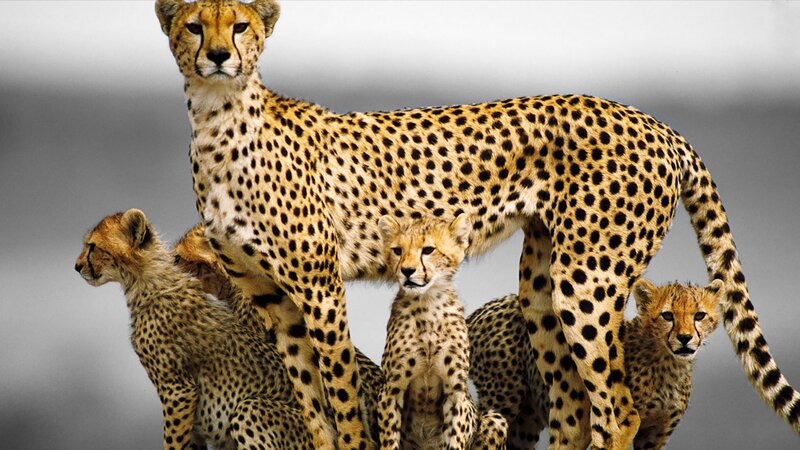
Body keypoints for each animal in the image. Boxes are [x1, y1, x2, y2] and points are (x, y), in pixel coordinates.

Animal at [74, 209, 312, 450]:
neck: (147, 282)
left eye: (93, 246)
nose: (77, 266)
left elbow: (174, 441)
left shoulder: (178, 390)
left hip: (251, 409)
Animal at [376, 215, 507, 450]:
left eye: (428, 250)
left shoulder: (456, 392)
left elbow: (455, 437)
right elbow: (390, 439)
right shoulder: (391, 387)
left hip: (495, 418)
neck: (428, 302)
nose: (407, 271)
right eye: (397, 250)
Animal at [468, 278, 724, 449]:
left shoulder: (655, 436)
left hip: (527, 417)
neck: (668, 362)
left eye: (699, 315)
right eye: (667, 315)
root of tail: (482, 309)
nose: (684, 338)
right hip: (504, 398)